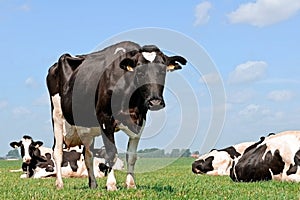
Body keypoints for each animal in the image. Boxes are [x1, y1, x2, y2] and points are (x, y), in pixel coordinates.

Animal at [45, 40, 186, 191]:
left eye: (163, 70)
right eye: (140, 71)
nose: (155, 102)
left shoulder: (140, 121)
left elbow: (132, 156)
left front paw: (131, 184)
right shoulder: (105, 119)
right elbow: (111, 153)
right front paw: (111, 184)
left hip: (86, 129)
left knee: (88, 155)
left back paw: (93, 184)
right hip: (57, 116)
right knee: (57, 152)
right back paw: (60, 184)